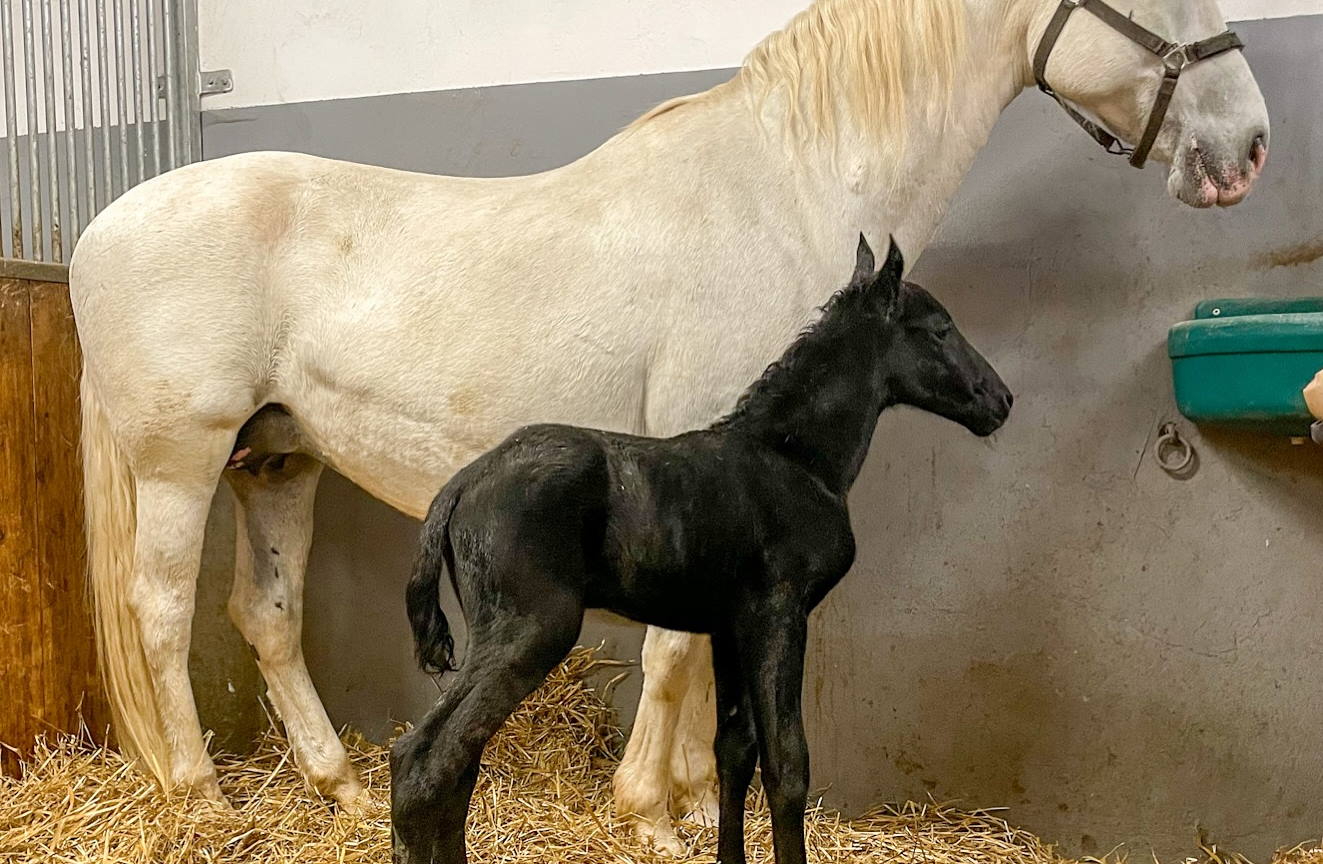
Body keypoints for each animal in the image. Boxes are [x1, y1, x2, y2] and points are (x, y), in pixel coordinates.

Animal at [391, 235, 1010, 862]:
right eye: (940, 330)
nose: (1001, 399)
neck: (795, 460)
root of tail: (462, 482)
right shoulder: (779, 616)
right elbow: (787, 762)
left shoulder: (731, 629)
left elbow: (734, 750)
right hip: (531, 628)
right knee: (427, 758)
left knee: (448, 759)